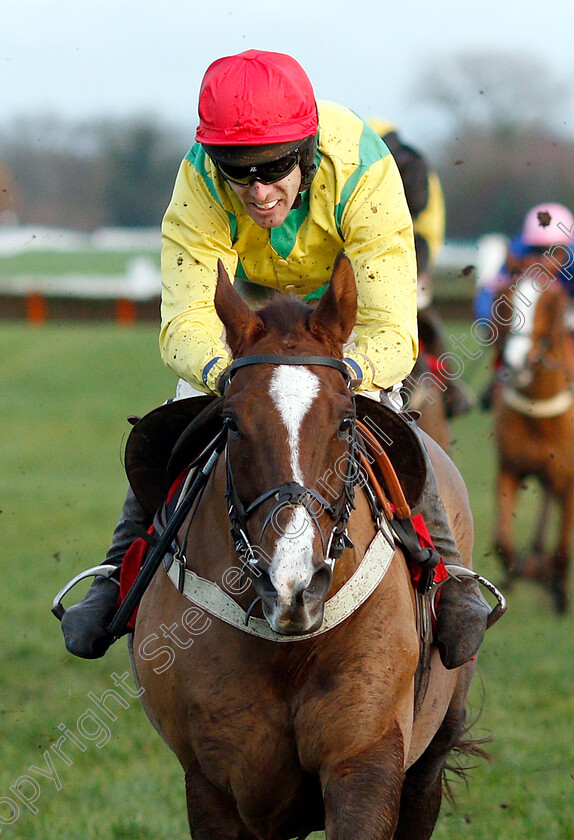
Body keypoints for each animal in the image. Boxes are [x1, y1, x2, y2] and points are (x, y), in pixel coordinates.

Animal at [133, 256, 484, 840]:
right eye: (230, 423)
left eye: (345, 421)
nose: (292, 586)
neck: (287, 650)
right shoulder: (214, 783)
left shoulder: (366, 756)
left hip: (432, 753)